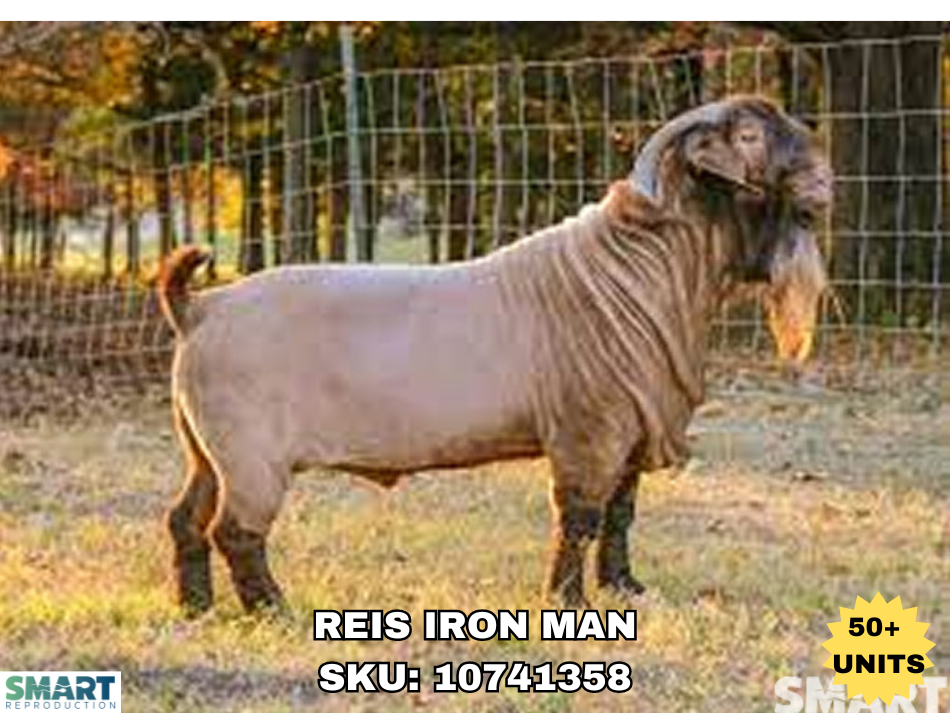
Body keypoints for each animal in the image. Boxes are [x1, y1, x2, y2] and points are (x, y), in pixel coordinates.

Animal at [159, 96, 832, 614]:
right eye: (750, 135)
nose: (826, 179)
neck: (639, 269)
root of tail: (202, 306)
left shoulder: (632, 430)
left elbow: (621, 512)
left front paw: (625, 589)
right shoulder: (589, 433)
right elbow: (580, 518)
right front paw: (569, 602)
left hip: (208, 454)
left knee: (186, 519)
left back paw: (195, 606)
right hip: (252, 456)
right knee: (235, 532)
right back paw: (272, 607)